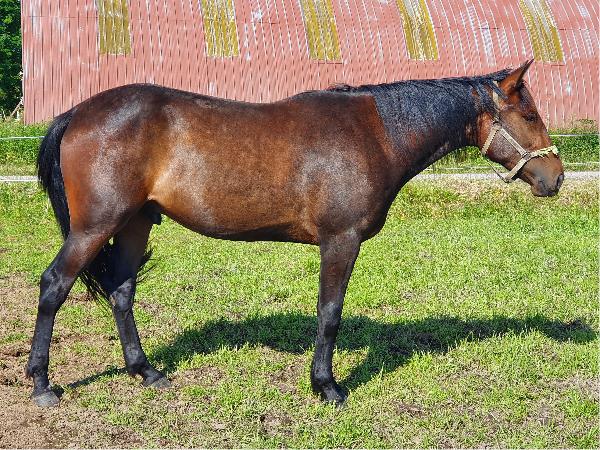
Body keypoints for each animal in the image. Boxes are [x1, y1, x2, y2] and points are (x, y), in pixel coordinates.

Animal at [28, 60, 564, 407]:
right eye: (530, 115)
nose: (555, 177)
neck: (377, 134)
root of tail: (76, 113)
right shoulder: (340, 241)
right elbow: (330, 314)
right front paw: (326, 386)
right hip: (94, 226)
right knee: (54, 286)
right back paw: (41, 384)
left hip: (135, 223)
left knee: (121, 292)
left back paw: (146, 371)